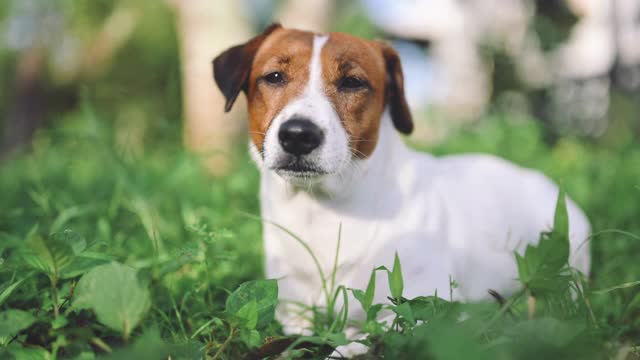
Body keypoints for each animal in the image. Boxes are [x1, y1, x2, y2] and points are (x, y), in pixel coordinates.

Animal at [211, 22, 592, 346]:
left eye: (352, 82)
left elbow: (361, 339)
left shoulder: (425, 313)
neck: (323, 212)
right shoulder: (291, 314)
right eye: (274, 76)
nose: (298, 135)